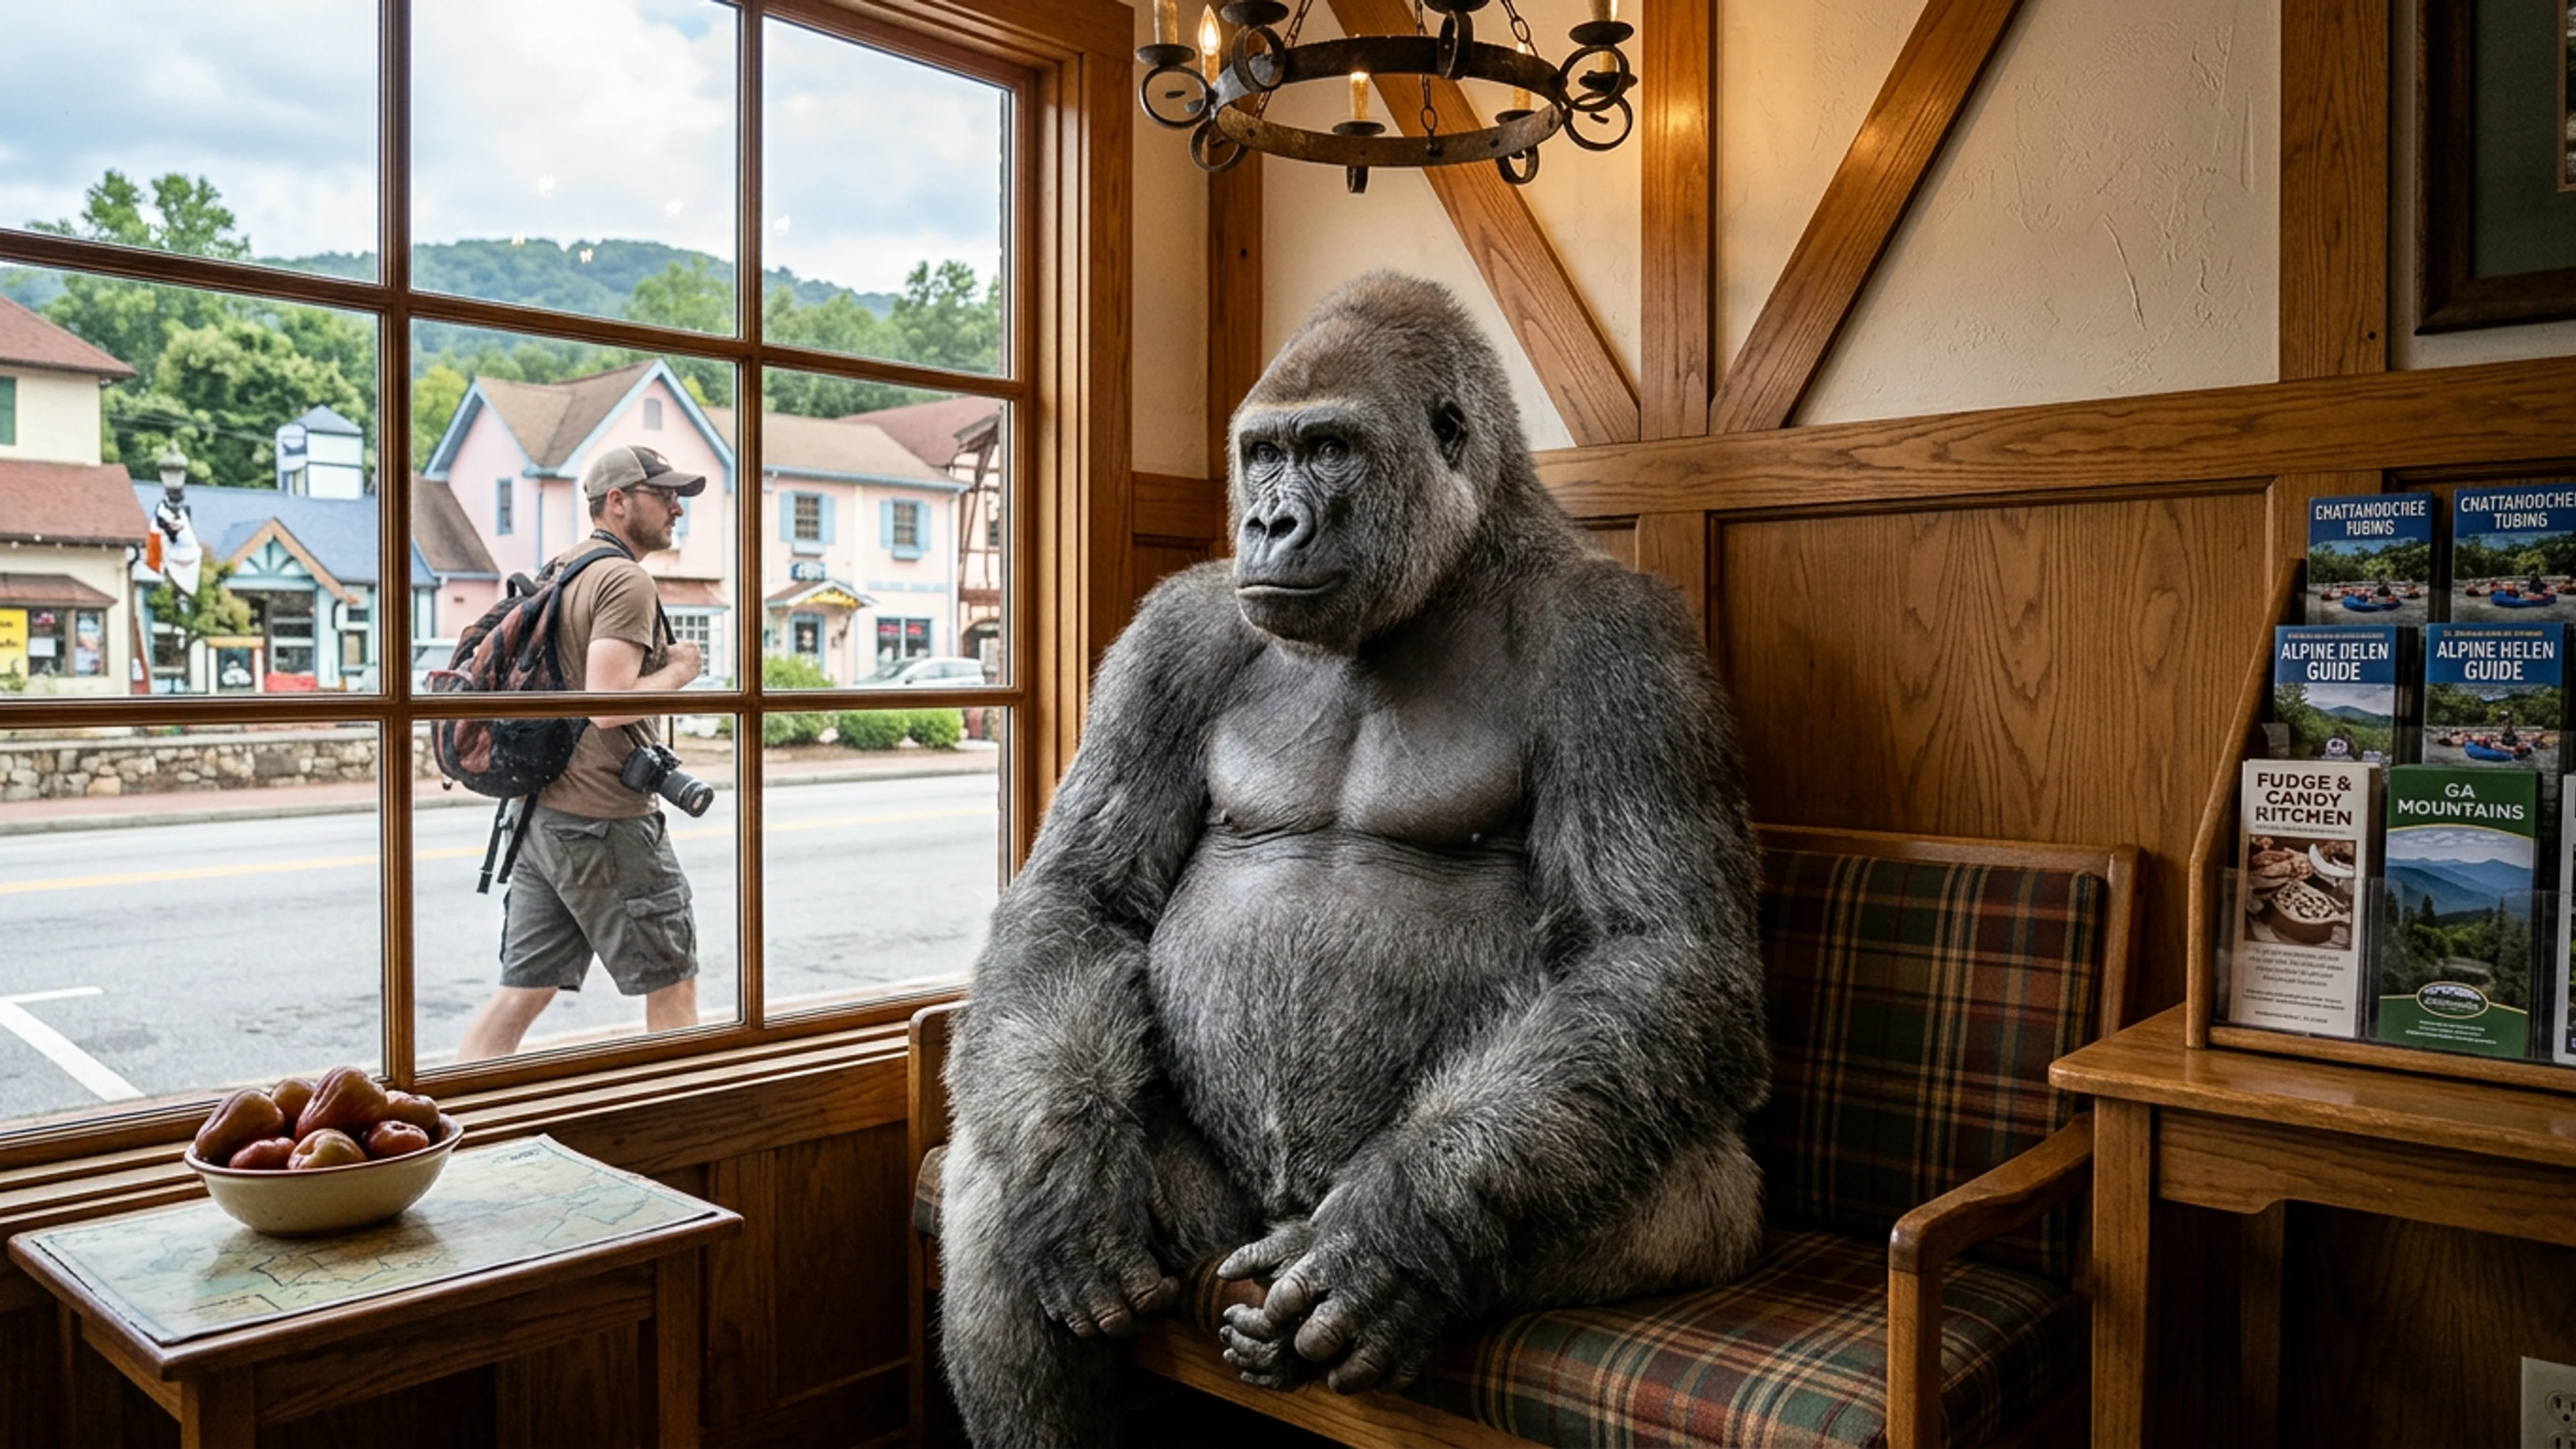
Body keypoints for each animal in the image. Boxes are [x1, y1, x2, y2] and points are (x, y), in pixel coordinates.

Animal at [936, 272, 1769, 1448]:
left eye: (1329, 449)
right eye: (1262, 454)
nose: (1268, 521)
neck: (1455, 570)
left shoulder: (1627, 644)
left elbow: (1659, 948)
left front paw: (1396, 1232)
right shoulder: (1170, 638)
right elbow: (1083, 896)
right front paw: (1068, 1175)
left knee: (1657, 1149)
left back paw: (1401, 1262)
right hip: (1211, 1230)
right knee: (994, 1169)